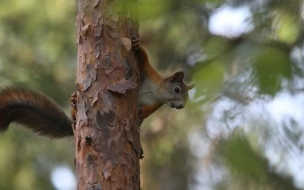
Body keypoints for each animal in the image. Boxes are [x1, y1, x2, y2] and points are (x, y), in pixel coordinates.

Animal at [0, 37, 195, 137]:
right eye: (177, 90)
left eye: (185, 100)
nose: (180, 106)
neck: (157, 92)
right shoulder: (150, 73)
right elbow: (144, 59)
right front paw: (137, 45)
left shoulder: (155, 104)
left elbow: (147, 112)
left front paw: (140, 115)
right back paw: (73, 102)